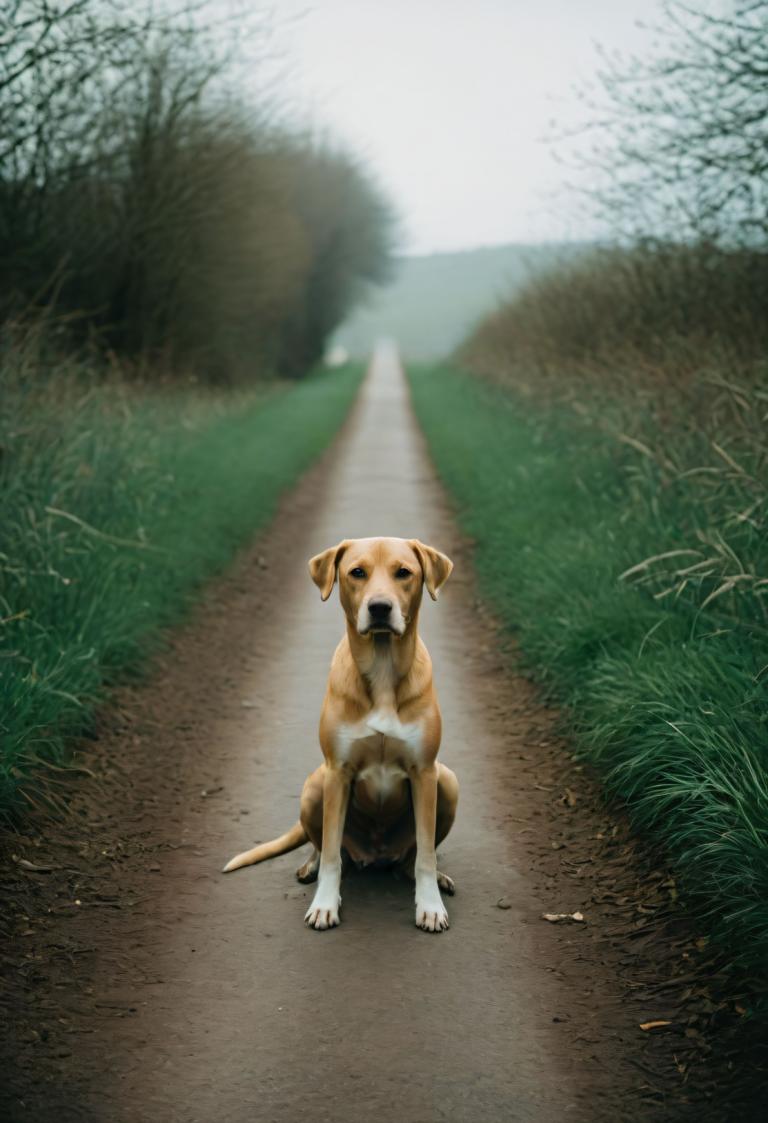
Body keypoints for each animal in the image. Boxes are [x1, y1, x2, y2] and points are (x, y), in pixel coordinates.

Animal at [224, 534, 458, 929]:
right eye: (357, 572)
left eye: (404, 572)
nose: (379, 608)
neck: (382, 668)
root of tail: (376, 855)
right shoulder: (337, 772)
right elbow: (332, 853)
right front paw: (325, 904)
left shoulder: (425, 773)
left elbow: (426, 854)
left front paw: (430, 905)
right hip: (314, 786)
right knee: (327, 848)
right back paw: (311, 868)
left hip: (448, 781)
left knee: (414, 857)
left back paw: (431, 877)